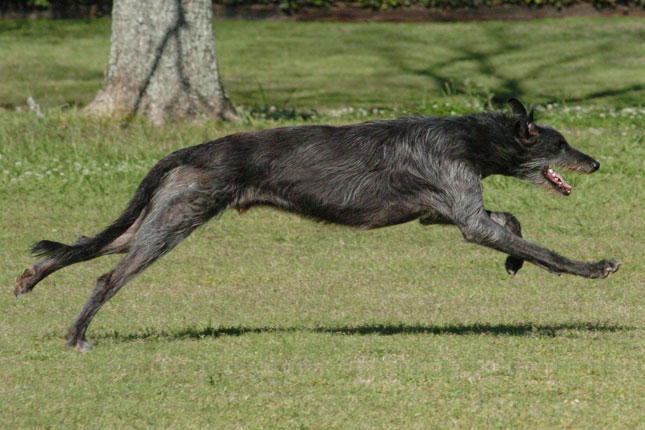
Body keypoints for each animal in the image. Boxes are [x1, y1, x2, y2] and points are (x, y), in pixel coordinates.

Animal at [13, 99, 620, 352]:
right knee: (106, 277)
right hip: (175, 220)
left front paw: (513, 259)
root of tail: (193, 149)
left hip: (157, 215)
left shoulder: (445, 211)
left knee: (85, 246)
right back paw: (75, 336)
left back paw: (31, 278)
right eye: (561, 144)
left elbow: (511, 223)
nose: (595, 163)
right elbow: (540, 247)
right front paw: (593, 267)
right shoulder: (459, 208)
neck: (469, 137)